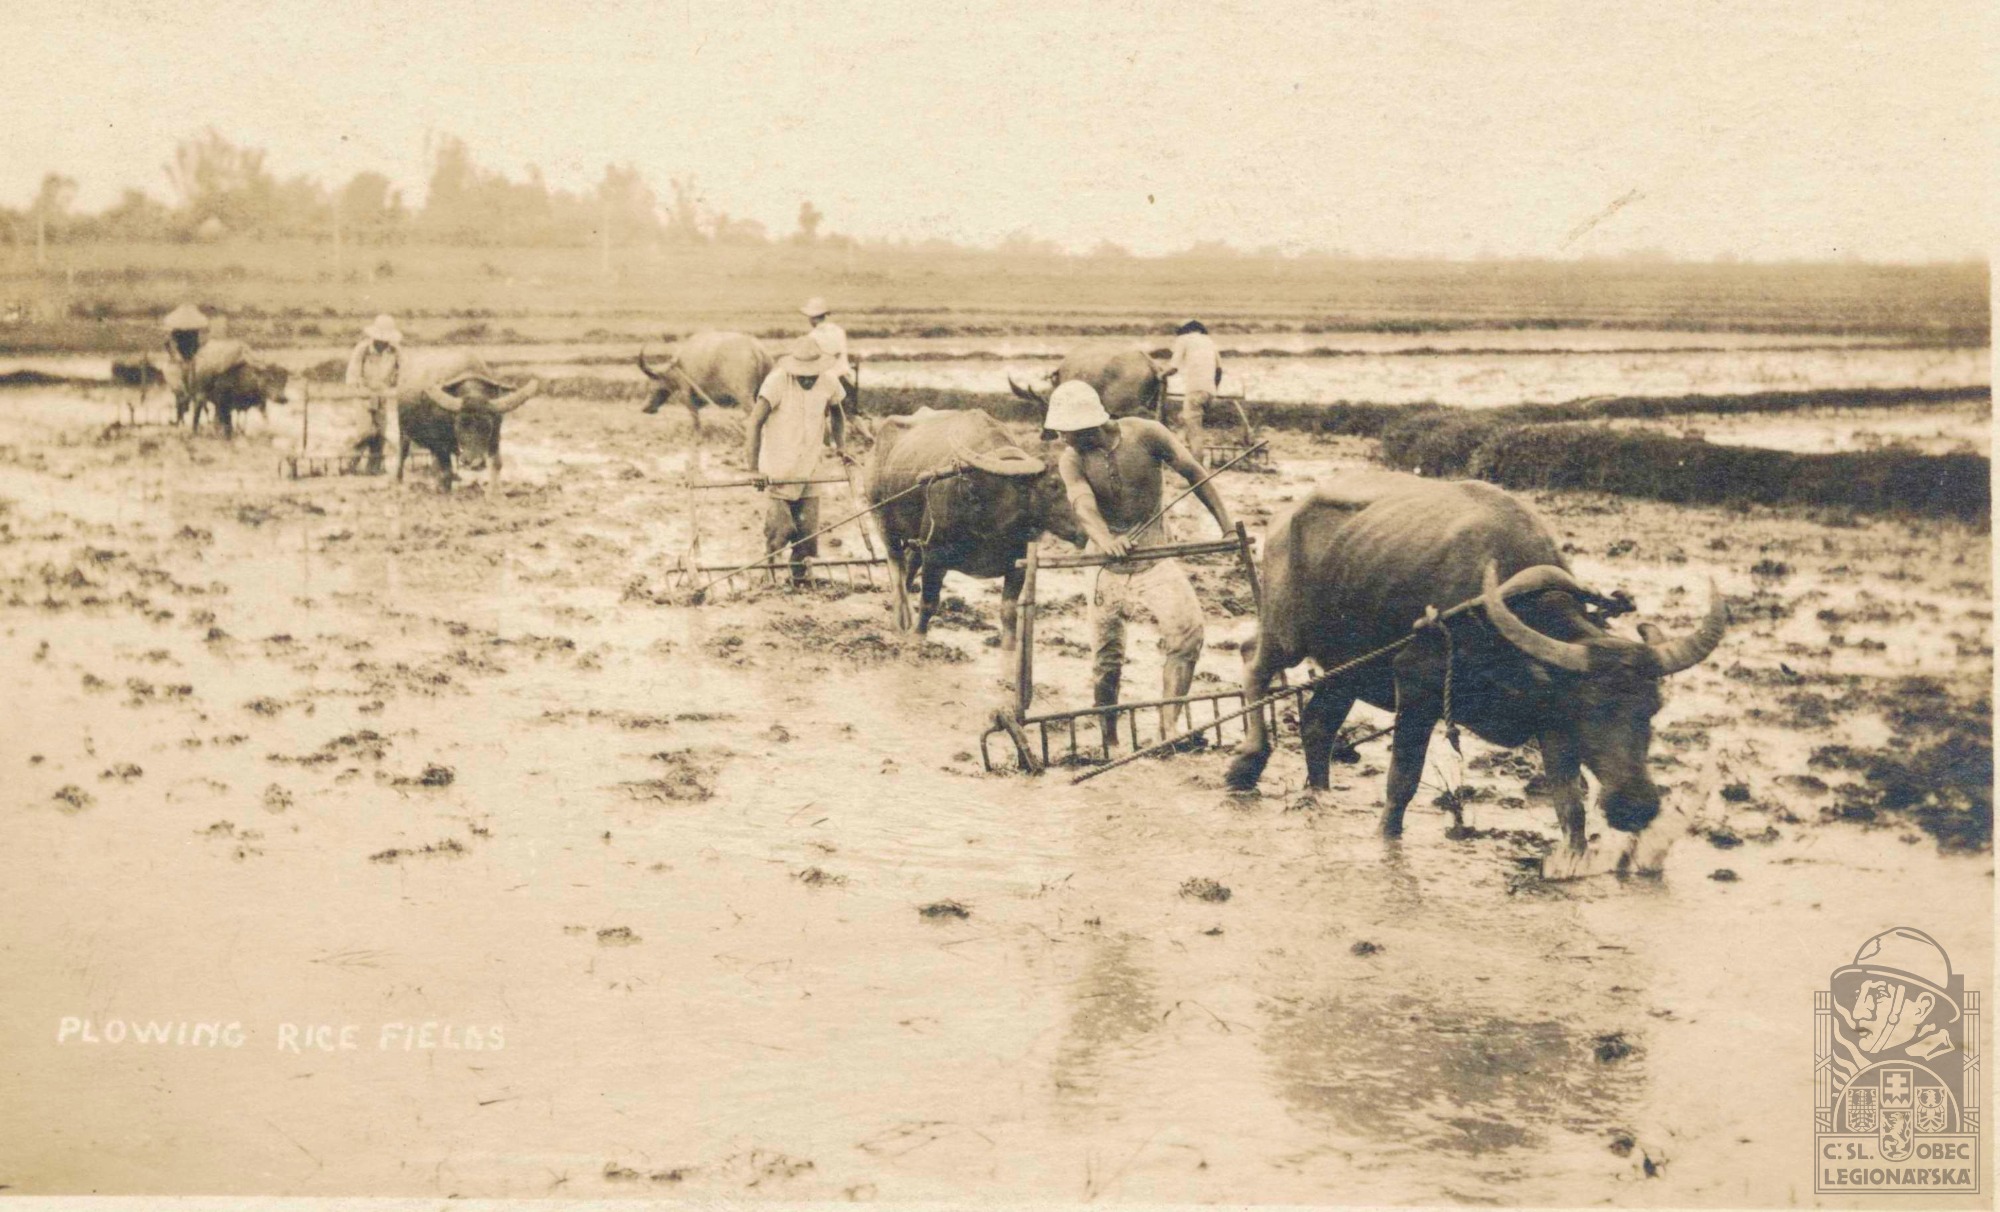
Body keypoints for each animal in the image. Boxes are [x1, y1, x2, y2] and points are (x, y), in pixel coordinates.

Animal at [395, 352, 542, 491]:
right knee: (403, 453)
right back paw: (399, 481)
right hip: (403, 431)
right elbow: (446, 470)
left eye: (487, 426)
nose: (475, 463)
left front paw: (496, 494)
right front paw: (444, 490)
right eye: (460, 424)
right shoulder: (440, 442)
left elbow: (496, 464)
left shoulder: (495, 435)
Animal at [637, 331, 775, 434]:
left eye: (651, 385)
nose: (645, 408)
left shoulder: (686, 395)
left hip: (745, 396)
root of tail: (756, 349)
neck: (677, 367)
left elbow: (695, 418)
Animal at [868, 408, 1087, 649]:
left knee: (910, 562)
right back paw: (900, 619)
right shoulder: (935, 556)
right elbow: (929, 602)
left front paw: (1009, 648)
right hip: (884, 522)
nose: (1084, 532)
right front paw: (918, 636)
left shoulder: (1018, 566)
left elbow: (1008, 612)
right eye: (1053, 485)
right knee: (896, 566)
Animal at [1223, 471, 1727, 867]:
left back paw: (1319, 792)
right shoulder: (1418, 684)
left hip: (1345, 664)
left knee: (1317, 724)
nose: (1636, 805)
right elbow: (1401, 782)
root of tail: (1289, 515)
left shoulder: (1552, 720)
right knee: (1253, 663)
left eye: (1652, 709)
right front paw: (1387, 839)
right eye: (1591, 710)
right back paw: (1247, 763)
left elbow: (1571, 807)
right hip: (1285, 630)